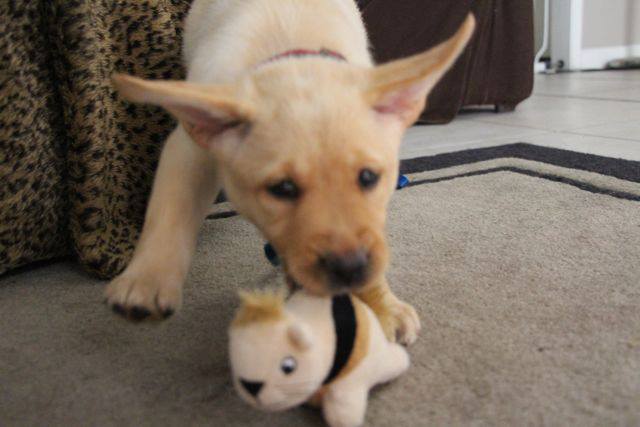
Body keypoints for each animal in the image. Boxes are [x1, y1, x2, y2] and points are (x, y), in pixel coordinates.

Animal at [107, 0, 476, 344]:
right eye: (282, 189)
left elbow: (372, 231)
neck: (292, 45)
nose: (350, 270)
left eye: (369, 178)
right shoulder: (189, 146)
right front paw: (148, 278)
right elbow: (171, 210)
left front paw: (382, 303)